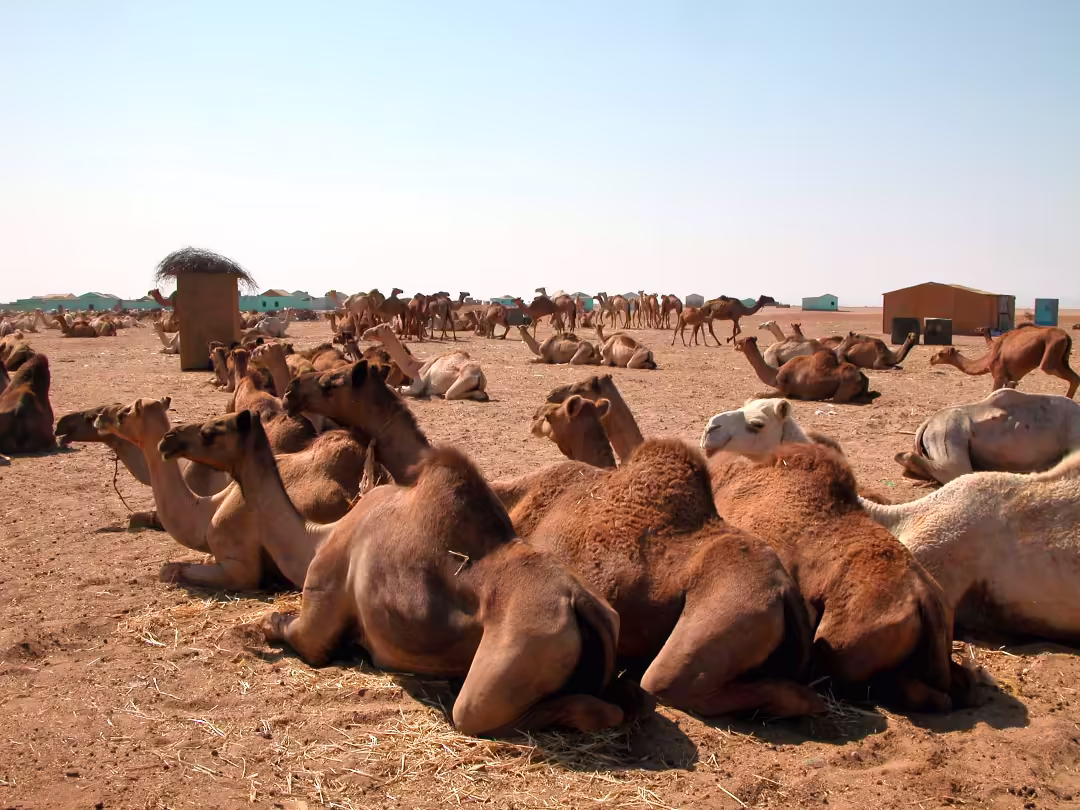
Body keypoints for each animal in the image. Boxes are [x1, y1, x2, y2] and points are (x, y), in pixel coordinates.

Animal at [737, 335, 878, 403]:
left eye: (740, 342)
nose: (734, 345)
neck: (776, 372)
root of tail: (862, 377)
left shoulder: (783, 390)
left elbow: (759, 395)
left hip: (843, 389)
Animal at [930, 326, 1078, 398]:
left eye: (940, 354)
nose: (931, 359)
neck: (988, 358)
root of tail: (1066, 336)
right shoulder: (1011, 378)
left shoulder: (999, 375)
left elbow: (993, 393)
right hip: (1063, 359)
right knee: (1076, 378)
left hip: (1052, 352)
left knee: (1053, 370)